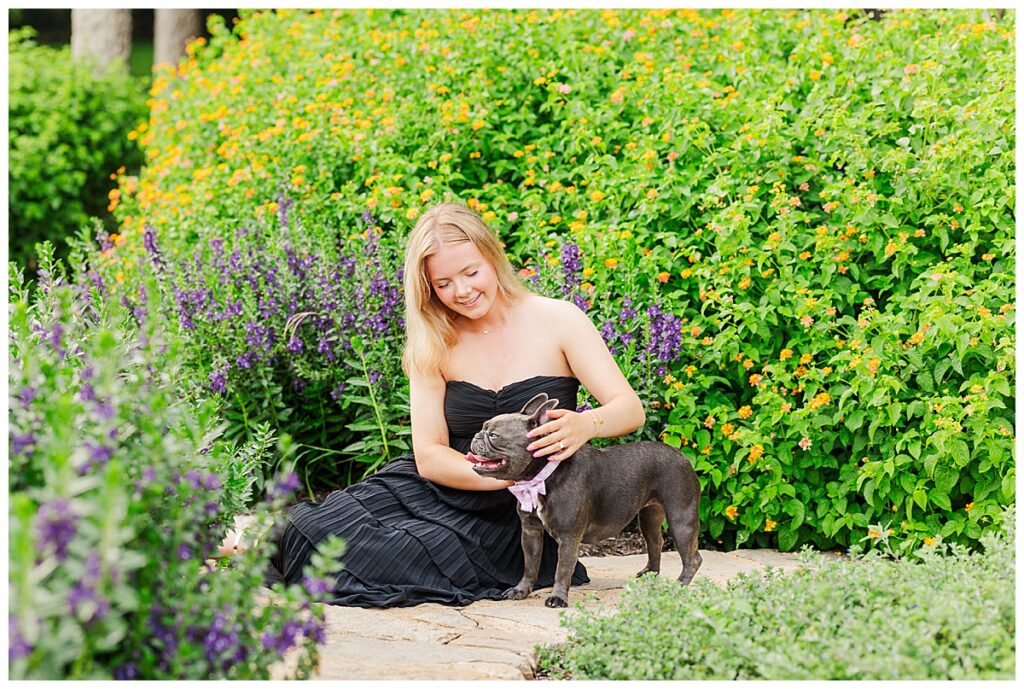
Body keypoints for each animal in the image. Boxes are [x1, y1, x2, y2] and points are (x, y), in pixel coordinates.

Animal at [468, 393, 700, 606]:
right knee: (655, 541)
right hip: (649, 516)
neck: (544, 475)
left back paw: (679, 586)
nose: (477, 435)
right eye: (483, 428)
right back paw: (650, 575)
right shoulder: (531, 531)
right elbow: (530, 564)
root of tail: (681, 456)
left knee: (692, 558)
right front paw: (521, 590)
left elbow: (562, 569)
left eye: (494, 435)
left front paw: (557, 598)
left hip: (681, 518)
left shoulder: (569, 538)